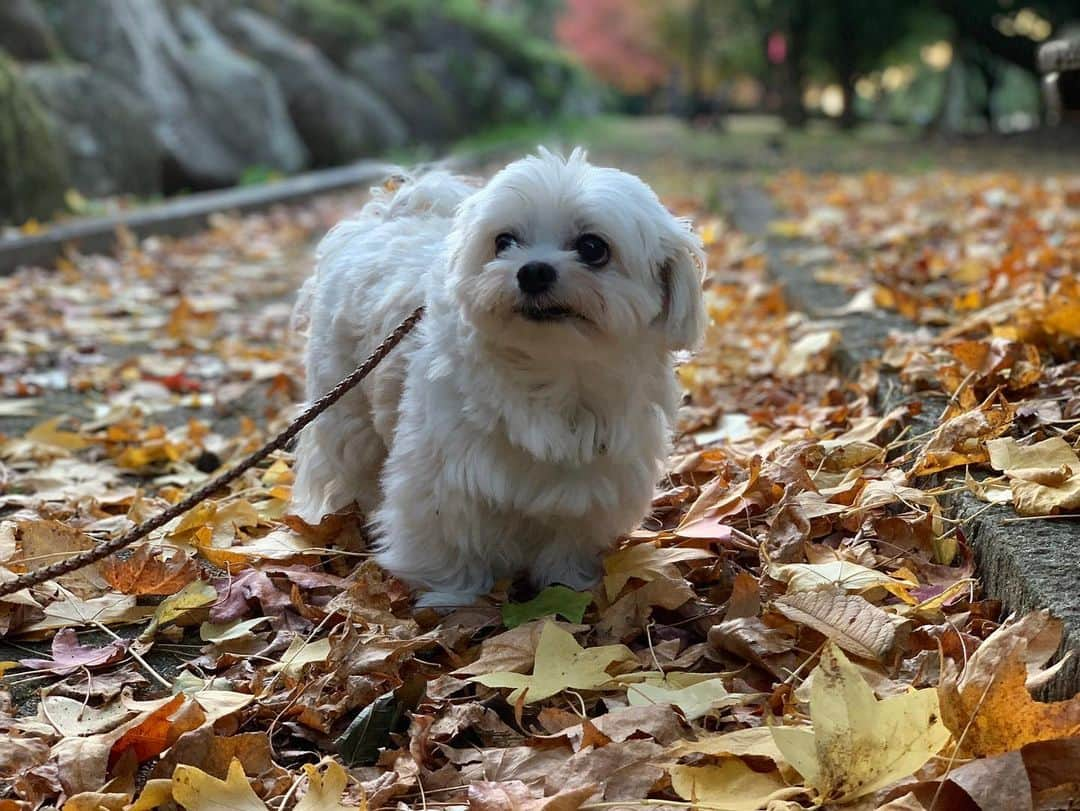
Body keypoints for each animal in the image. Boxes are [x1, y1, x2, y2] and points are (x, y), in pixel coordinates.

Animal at [291, 151, 704, 609]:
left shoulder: (594, 481)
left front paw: (568, 584)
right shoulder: (438, 478)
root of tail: (383, 219)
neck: (552, 373)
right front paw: (450, 598)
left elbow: (570, 538)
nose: (534, 271)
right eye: (503, 241)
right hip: (346, 408)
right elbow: (445, 540)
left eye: (593, 247)